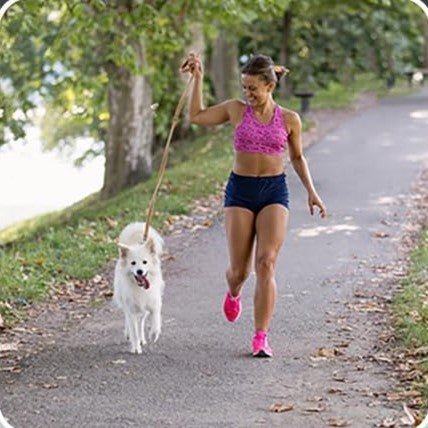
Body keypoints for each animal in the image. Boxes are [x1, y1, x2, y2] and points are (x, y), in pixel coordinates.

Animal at [113, 222, 165, 352]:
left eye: (145, 262)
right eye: (133, 263)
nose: (140, 271)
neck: (140, 288)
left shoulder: (154, 304)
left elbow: (156, 321)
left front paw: (153, 334)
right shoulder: (131, 309)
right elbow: (133, 331)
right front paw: (136, 348)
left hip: (143, 310)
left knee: (141, 322)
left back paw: (142, 338)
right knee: (129, 320)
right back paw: (129, 334)